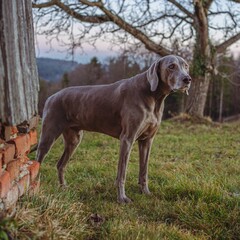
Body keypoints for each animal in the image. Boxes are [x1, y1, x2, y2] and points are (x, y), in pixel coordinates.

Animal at [37, 54, 191, 202]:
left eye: (186, 66)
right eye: (171, 66)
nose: (187, 79)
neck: (153, 96)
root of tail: (51, 97)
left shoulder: (147, 140)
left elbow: (144, 170)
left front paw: (145, 192)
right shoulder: (127, 139)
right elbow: (122, 173)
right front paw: (122, 198)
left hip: (74, 139)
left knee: (60, 164)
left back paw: (63, 187)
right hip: (49, 134)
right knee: (38, 160)